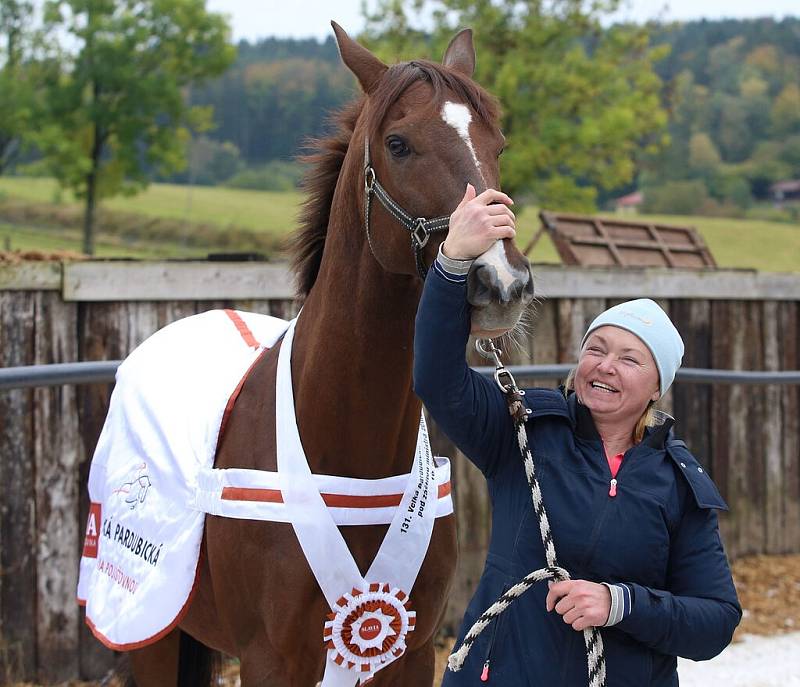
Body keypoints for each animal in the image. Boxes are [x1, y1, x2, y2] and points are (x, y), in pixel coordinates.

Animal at [122, 22, 536, 687]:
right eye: (398, 144)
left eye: (498, 143)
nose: (501, 283)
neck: (347, 447)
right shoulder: (269, 659)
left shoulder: (413, 651)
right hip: (151, 634)